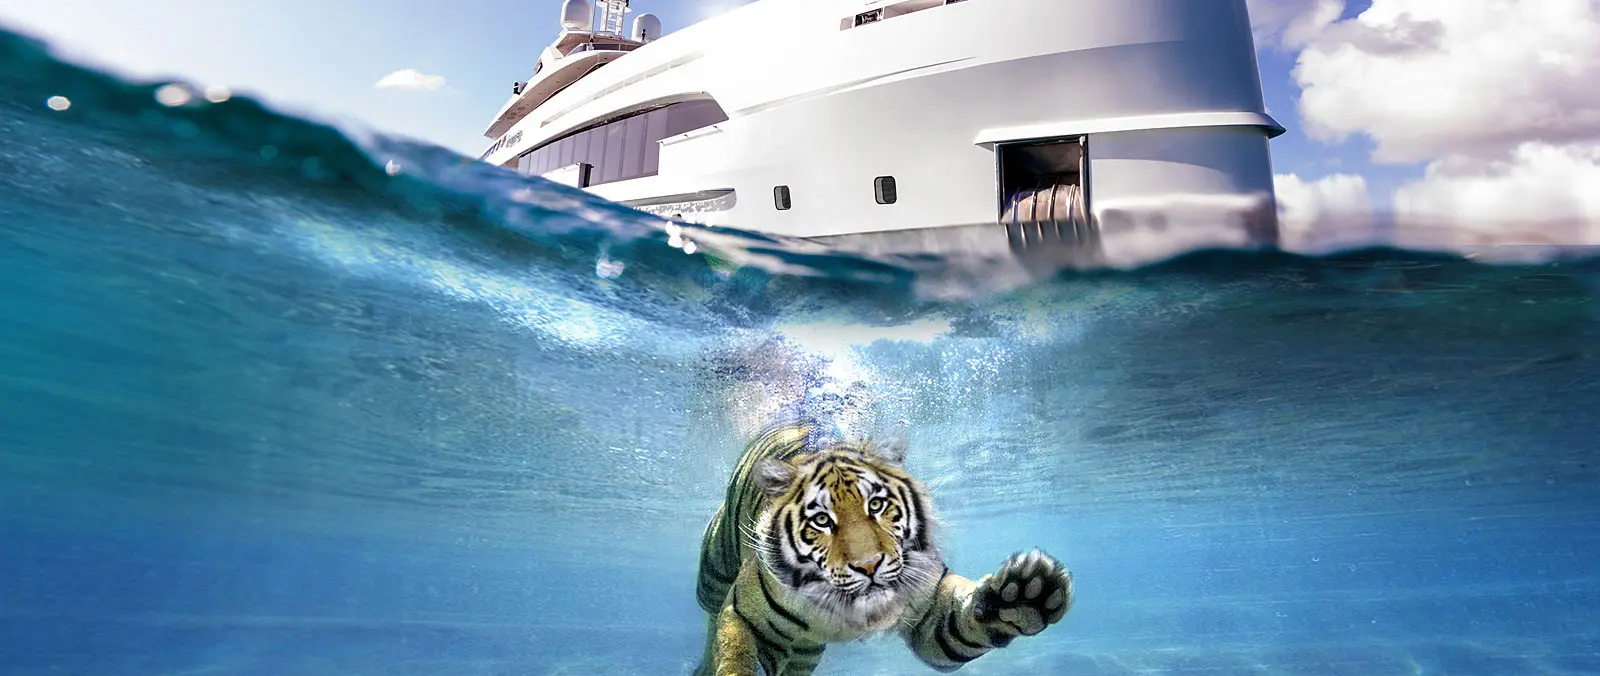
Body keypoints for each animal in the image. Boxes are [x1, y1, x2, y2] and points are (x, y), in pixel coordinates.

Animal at [692, 421, 1074, 675]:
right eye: (821, 520)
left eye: (876, 505)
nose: (869, 565)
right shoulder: (743, 615)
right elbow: (734, 657)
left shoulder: (931, 610)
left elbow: (962, 621)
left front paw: (1025, 596)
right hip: (714, 573)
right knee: (711, 618)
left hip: (804, 651)